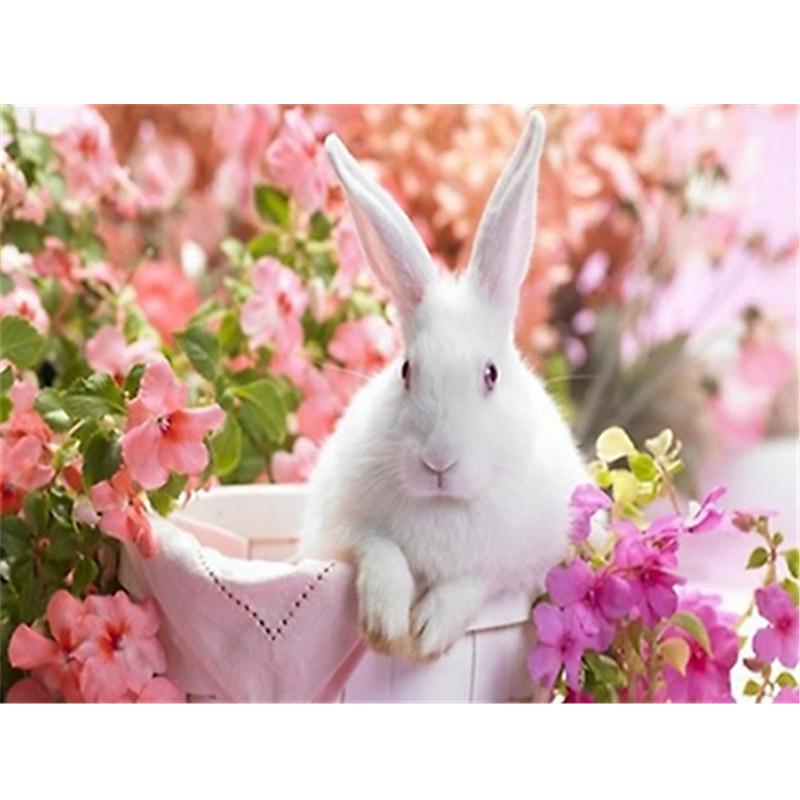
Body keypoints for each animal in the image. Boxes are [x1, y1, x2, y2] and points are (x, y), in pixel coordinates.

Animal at [299, 110, 590, 661]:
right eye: (406, 371)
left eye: (491, 374)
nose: (438, 462)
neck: (443, 506)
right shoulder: (342, 528)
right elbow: (380, 549)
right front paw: (387, 625)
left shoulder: (523, 561)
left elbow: (476, 580)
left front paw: (429, 630)